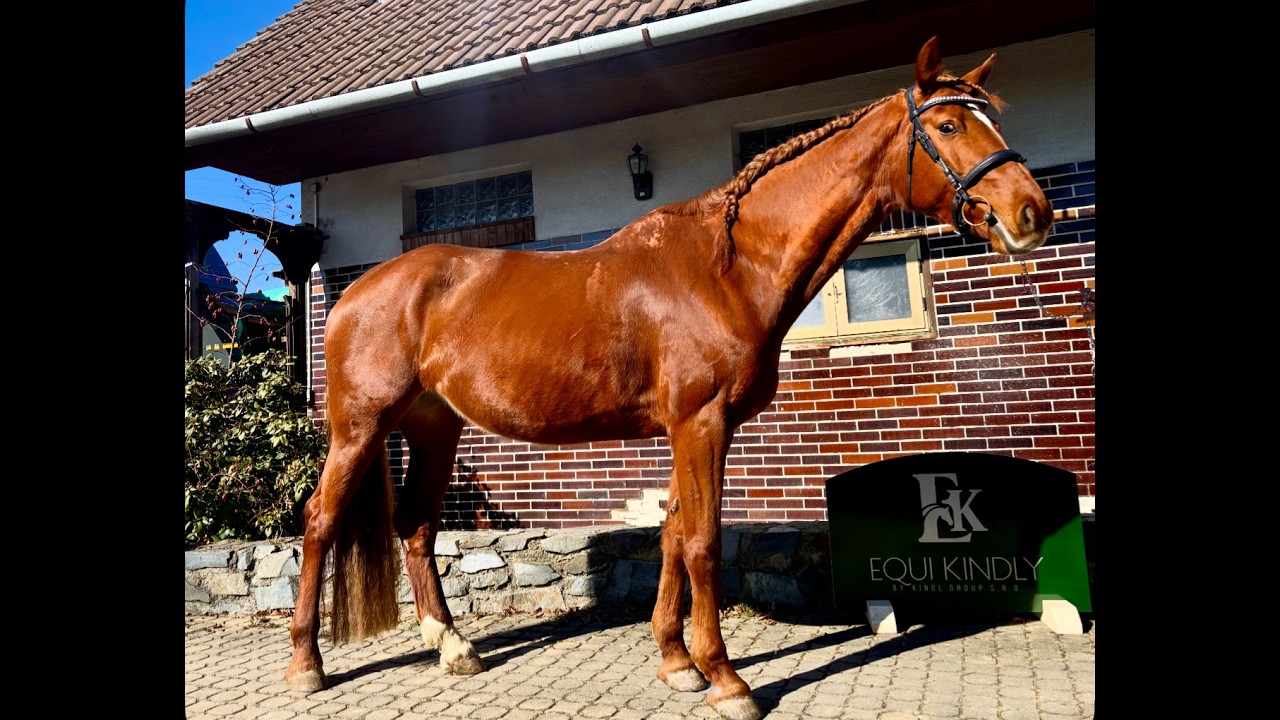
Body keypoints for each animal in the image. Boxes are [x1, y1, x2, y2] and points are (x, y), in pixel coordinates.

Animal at [284, 36, 1054, 720]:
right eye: (949, 125)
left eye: (992, 117)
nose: (1032, 214)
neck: (728, 267)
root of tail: (355, 292)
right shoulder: (700, 422)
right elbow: (703, 543)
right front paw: (728, 681)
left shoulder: (701, 428)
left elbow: (674, 536)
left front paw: (677, 662)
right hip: (361, 428)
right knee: (319, 520)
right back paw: (306, 665)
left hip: (433, 428)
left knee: (414, 525)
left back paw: (452, 647)